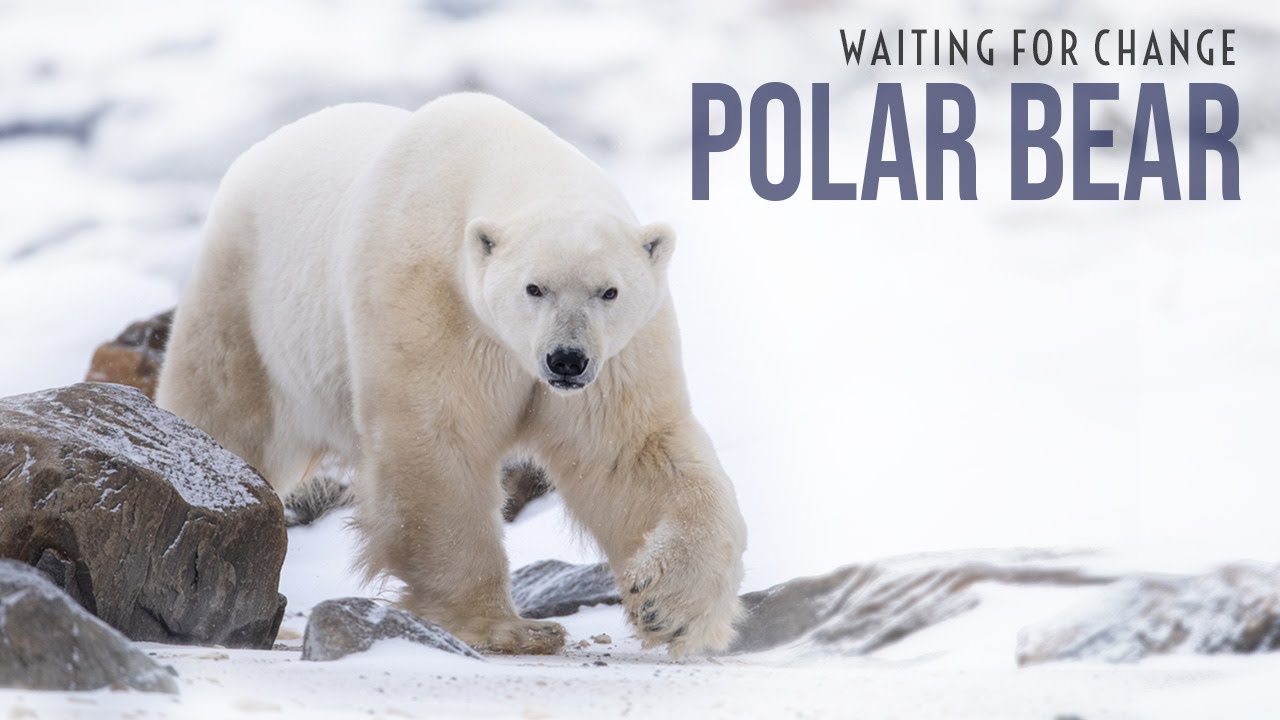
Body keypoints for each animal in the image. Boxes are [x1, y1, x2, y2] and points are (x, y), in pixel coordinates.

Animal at [155, 93, 748, 655]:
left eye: (610, 291)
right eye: (534, 287)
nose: (566, 360)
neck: (499, 157)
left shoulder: (618, 354)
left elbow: (632, 451)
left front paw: (669, 607)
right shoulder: (433, 298)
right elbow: (438, 442)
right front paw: (501, 627)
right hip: (247, 293)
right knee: (225, 404)